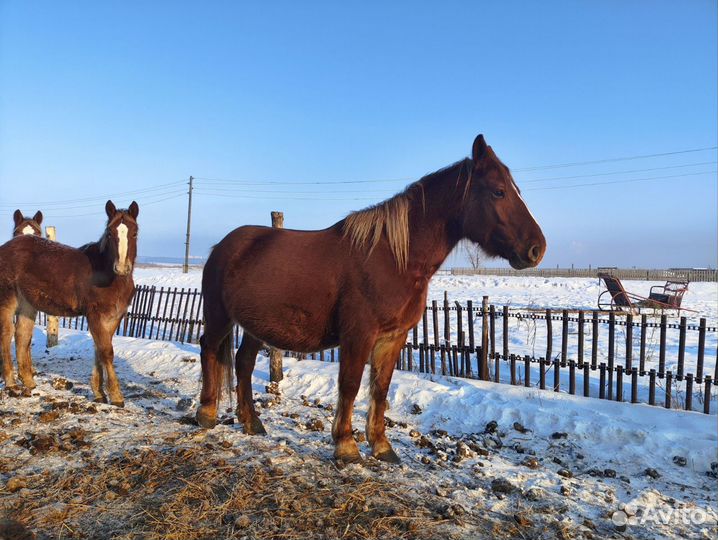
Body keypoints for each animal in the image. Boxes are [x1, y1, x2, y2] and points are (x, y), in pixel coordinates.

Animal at [0, 199, 140, 404]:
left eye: (134, 232)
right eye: (109, 233)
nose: (122, 268)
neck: (109, 276)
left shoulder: (114, 316)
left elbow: (100, 349)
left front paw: (99, 393)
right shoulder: (94, 314)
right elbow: (106, 351)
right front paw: (116, 396)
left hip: (27, 304)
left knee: (22, 335)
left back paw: (29, 383)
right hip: (8, 300)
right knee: (6, 335)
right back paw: (11, 384)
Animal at [197, 133, 544, 462]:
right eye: (499, 191)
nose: (537, 249)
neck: (393, 257)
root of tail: (223, 246)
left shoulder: (393, 337)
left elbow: (380, 388)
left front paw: (381, 445)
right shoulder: (359, 334)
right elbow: (350, 385)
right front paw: (346, 445)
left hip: (255, 325)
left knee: (243, 362)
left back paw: (251, 421)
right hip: (219, 316)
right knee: (209, 348)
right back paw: (206, 413)